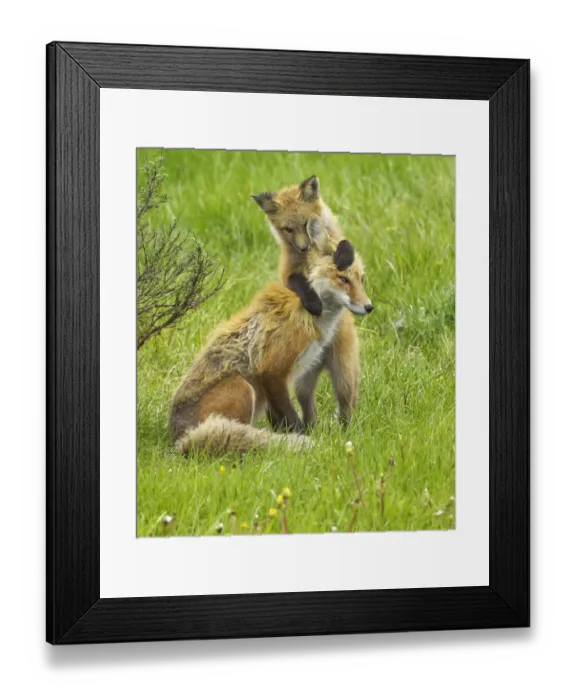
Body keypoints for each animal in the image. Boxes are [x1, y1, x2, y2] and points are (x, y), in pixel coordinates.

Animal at [170, 240, 372, 455]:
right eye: (343, 279)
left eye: (361, 280)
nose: (369, 307)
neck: (309, 314)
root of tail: (180, 438)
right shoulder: (272, 371)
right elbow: (291, 418)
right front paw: (299, 439)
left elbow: (280, 419)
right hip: (242, 387)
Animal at [252, 175, 371, 427]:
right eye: (288, 229)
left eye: (306, 222)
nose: (303, 246)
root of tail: (321, 358)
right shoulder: (287, 272)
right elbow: (299, 283)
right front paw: (314, 303)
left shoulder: (338, 236)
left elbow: (345, 245)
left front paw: (341, 256)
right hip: (302, 383)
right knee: (310, 416)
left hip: (344, 378)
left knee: (345, 411)